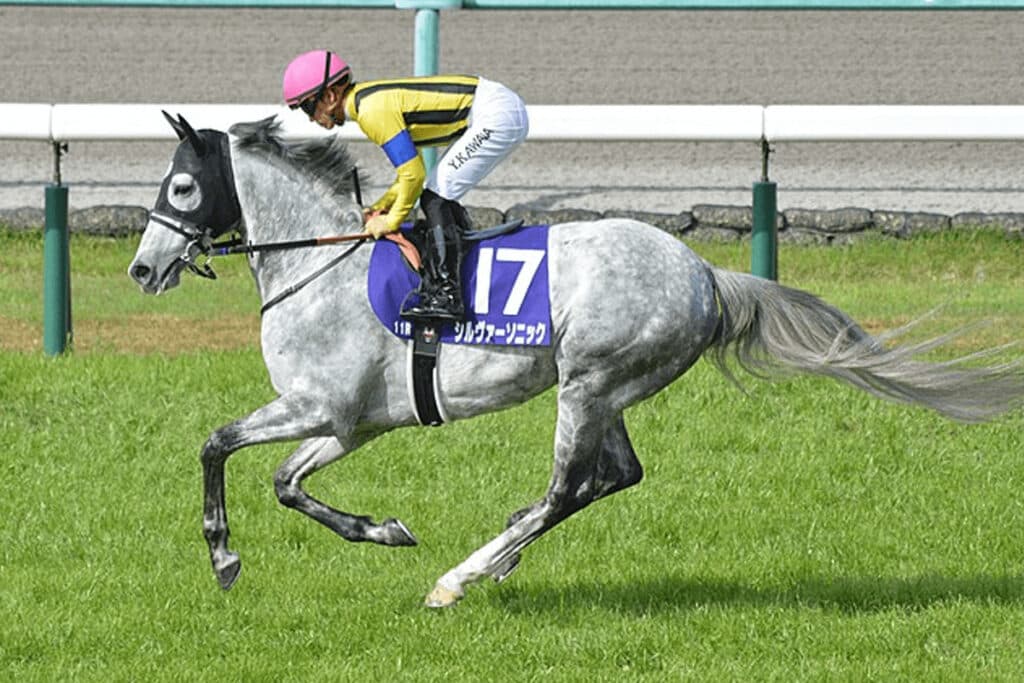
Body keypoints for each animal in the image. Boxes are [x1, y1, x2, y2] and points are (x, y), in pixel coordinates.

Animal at [128, 113, 1024, 608]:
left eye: (181, 188)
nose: (142, 269)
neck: (322, 261)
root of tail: (707, 273)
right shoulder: (353, 423)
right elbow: (287, 483)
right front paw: (381, 528)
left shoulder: (322, 406)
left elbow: (214, 444)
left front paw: (223, 555)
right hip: (607, 388)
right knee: (612, 477)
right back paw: (499, 553)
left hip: (590, 381)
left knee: (569, 485)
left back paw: (461, 577)